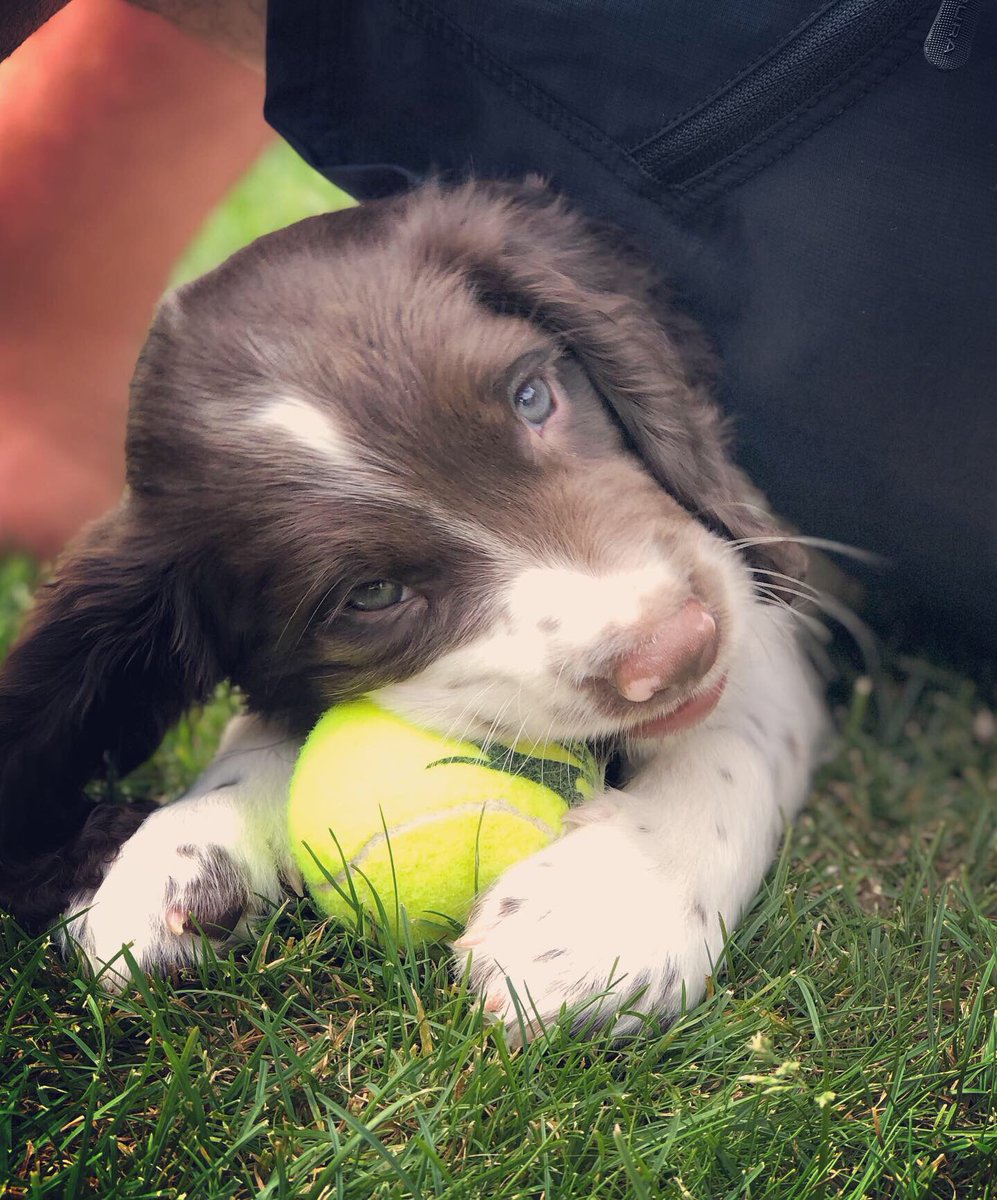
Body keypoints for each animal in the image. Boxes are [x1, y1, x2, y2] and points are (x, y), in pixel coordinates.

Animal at [0, 177, 825, 1041]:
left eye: (534, 397)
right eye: (371, 596)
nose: (677, 649)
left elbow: (734, 723)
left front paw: (604, 906)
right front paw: (186, 845)